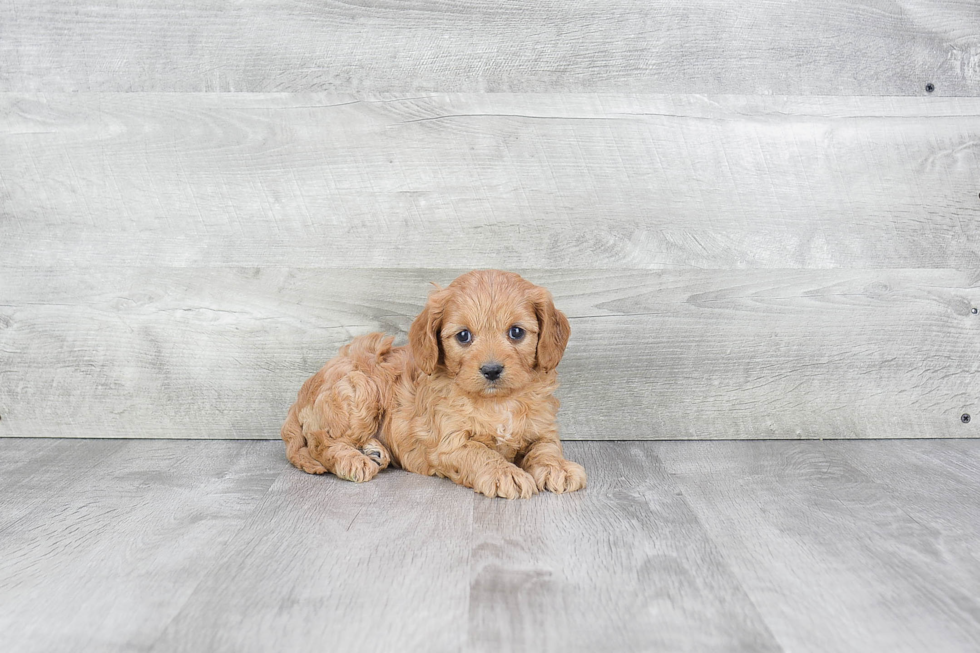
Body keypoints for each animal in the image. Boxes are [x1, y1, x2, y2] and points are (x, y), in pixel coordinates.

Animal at [280, 268, 584, 496]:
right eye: (463, 336)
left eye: (516, 332)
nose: (491, 370)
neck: (496, 402)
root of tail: (301, 396)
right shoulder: (449, 443)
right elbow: (480, 452)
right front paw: (506, 473)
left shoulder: (542, 428)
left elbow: (547, 447)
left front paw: (559, 467)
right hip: (359, 388)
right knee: (320, 441)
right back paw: (352, 459)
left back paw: (373, 450)